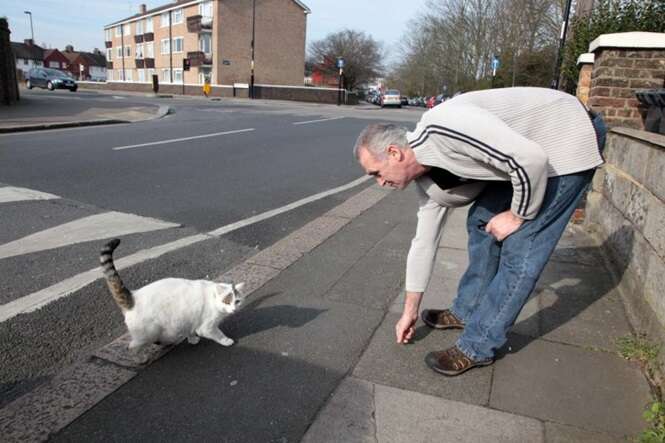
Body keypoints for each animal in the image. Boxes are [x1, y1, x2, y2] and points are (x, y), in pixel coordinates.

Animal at [98, 238, 244, 352]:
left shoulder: (189, 318)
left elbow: (190, 330)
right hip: (148, 332)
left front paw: (192, 338)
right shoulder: (207, 327)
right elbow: (218, 334)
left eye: (237, 301)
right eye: (226, 301)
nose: (234, 309)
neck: (213, 301)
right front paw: (226, 341)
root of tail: (133, 296)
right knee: (132, 346)